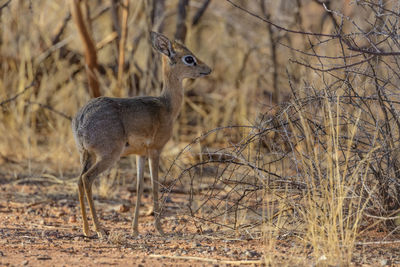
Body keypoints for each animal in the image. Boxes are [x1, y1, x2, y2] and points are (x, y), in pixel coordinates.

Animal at [71, 31, 211, 239]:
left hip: (86, 155)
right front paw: (160, 229)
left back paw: (87, 230)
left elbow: (138, 187)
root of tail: (81, 118)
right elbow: (154, 185)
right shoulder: (155, 150)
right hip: (108, 156)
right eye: (189, 58)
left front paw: (135, 229)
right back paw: (99, 230)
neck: (167, 106)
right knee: (87, 179)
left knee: (79, 180)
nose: (207, 69)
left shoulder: (140, 154)